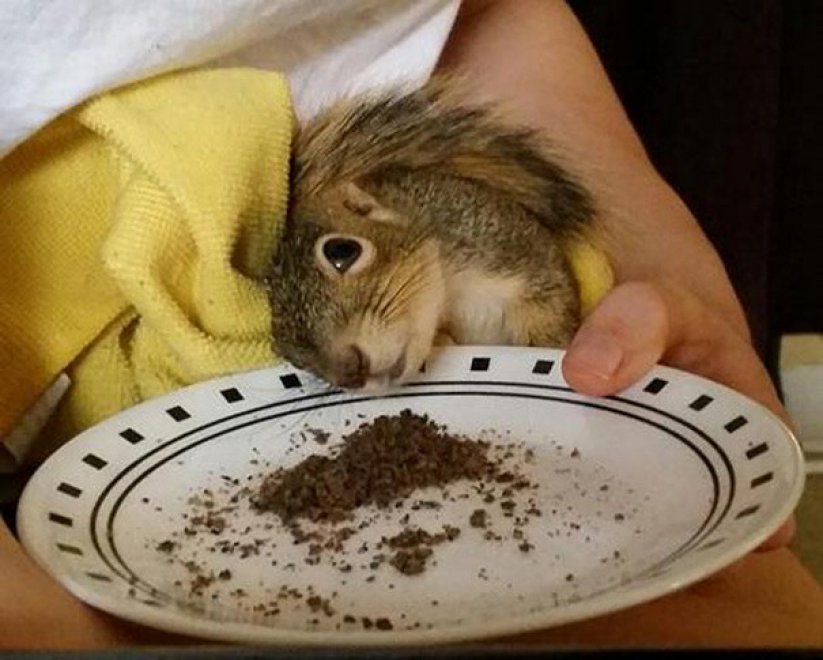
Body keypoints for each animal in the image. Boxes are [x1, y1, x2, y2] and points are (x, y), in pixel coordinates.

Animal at [266, 78, 601, 391]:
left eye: (342, 252)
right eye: (292, 357)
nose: (350, 372)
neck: (452, 294)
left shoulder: (519, 252)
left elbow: (550, 308)